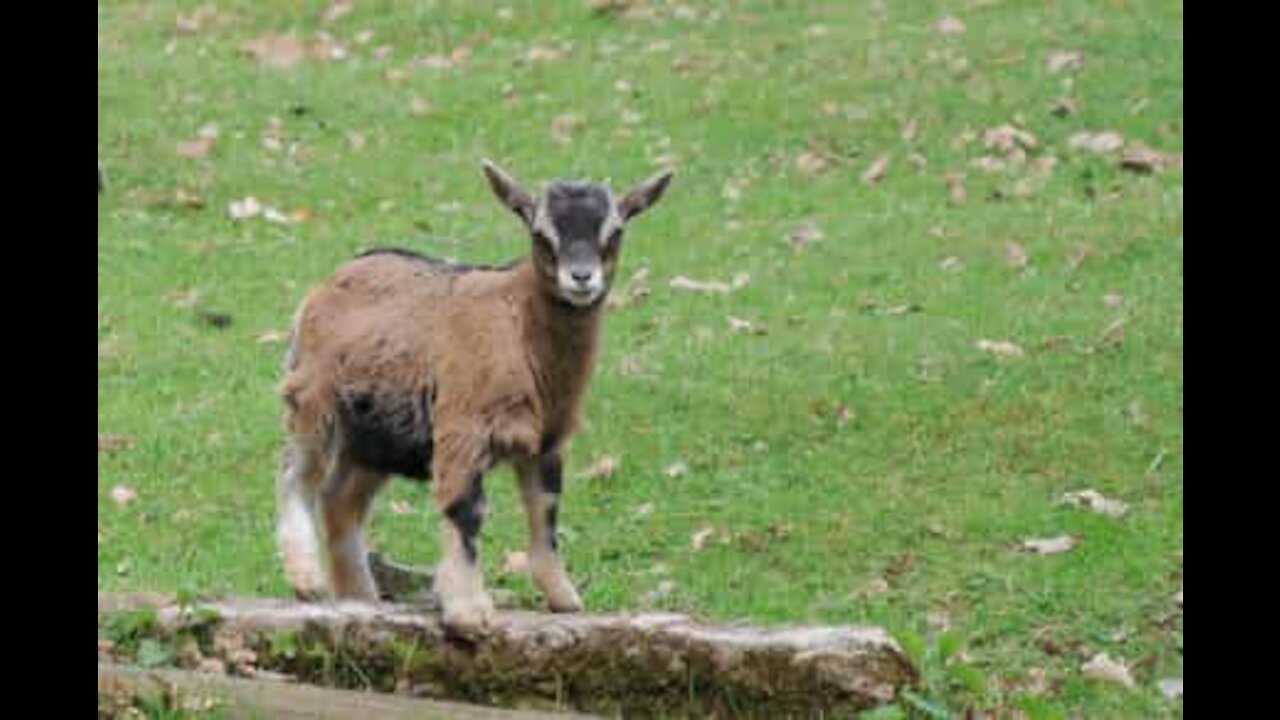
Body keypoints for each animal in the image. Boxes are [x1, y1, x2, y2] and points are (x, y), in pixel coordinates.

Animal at [275, 158, 675, 632]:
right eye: (541, 232)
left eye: (615, 230)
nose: (581, 278)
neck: (520, 325)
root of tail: (329, 284)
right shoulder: (462, 428)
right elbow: (465, 511)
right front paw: (468, 612)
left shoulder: (548, 439)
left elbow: (545, 513)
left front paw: (563, 598)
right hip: (314, 402)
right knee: (297, 476)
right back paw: (306, 580)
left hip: (377, 436)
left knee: (340, 500)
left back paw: (361, 595)